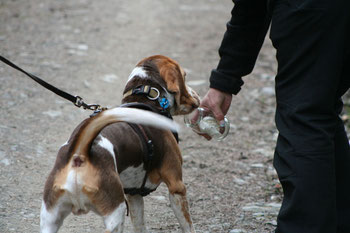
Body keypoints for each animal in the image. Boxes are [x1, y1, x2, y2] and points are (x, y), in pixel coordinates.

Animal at [39, 55, 200, 233]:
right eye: (184, 76)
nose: (196, 96)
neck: (146, 97)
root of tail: (80, 153)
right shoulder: (176, 187)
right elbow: (188, 226)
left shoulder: (134, 195)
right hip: (115, 213)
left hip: (50, 219)